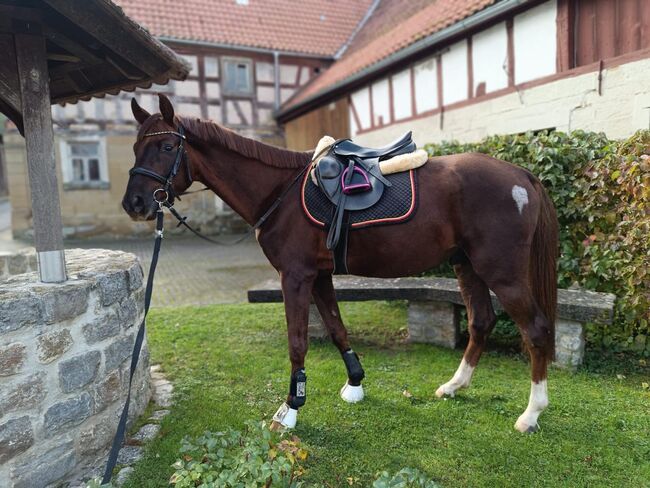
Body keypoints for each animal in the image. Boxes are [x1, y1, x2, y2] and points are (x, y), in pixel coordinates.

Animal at [123, 94, 558, 433]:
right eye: (135, 148)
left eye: (166, 148)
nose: (135, 203)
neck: (280, 192)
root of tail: (521, 174)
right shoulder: (320, 276)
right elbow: (336, 328)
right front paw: (355, 383)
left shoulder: (296, 277)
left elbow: (298, 342)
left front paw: (290, 407)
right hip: (466, 265)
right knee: (481, 320)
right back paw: (454, 387)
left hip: (501, 271)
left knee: (536, 330)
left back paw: (531, 413)